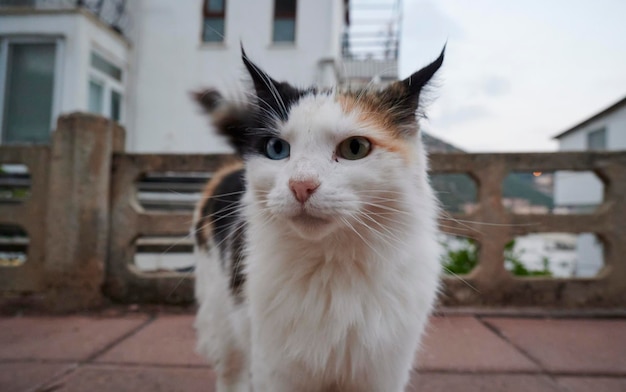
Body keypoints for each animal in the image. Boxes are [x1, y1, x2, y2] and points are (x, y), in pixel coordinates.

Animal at [193, 46, 442, 392]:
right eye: (277, 148)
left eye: (355, 148)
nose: (301, 185)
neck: (332, 267)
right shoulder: (276, 371)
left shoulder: (382, 374)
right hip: (223, 323)